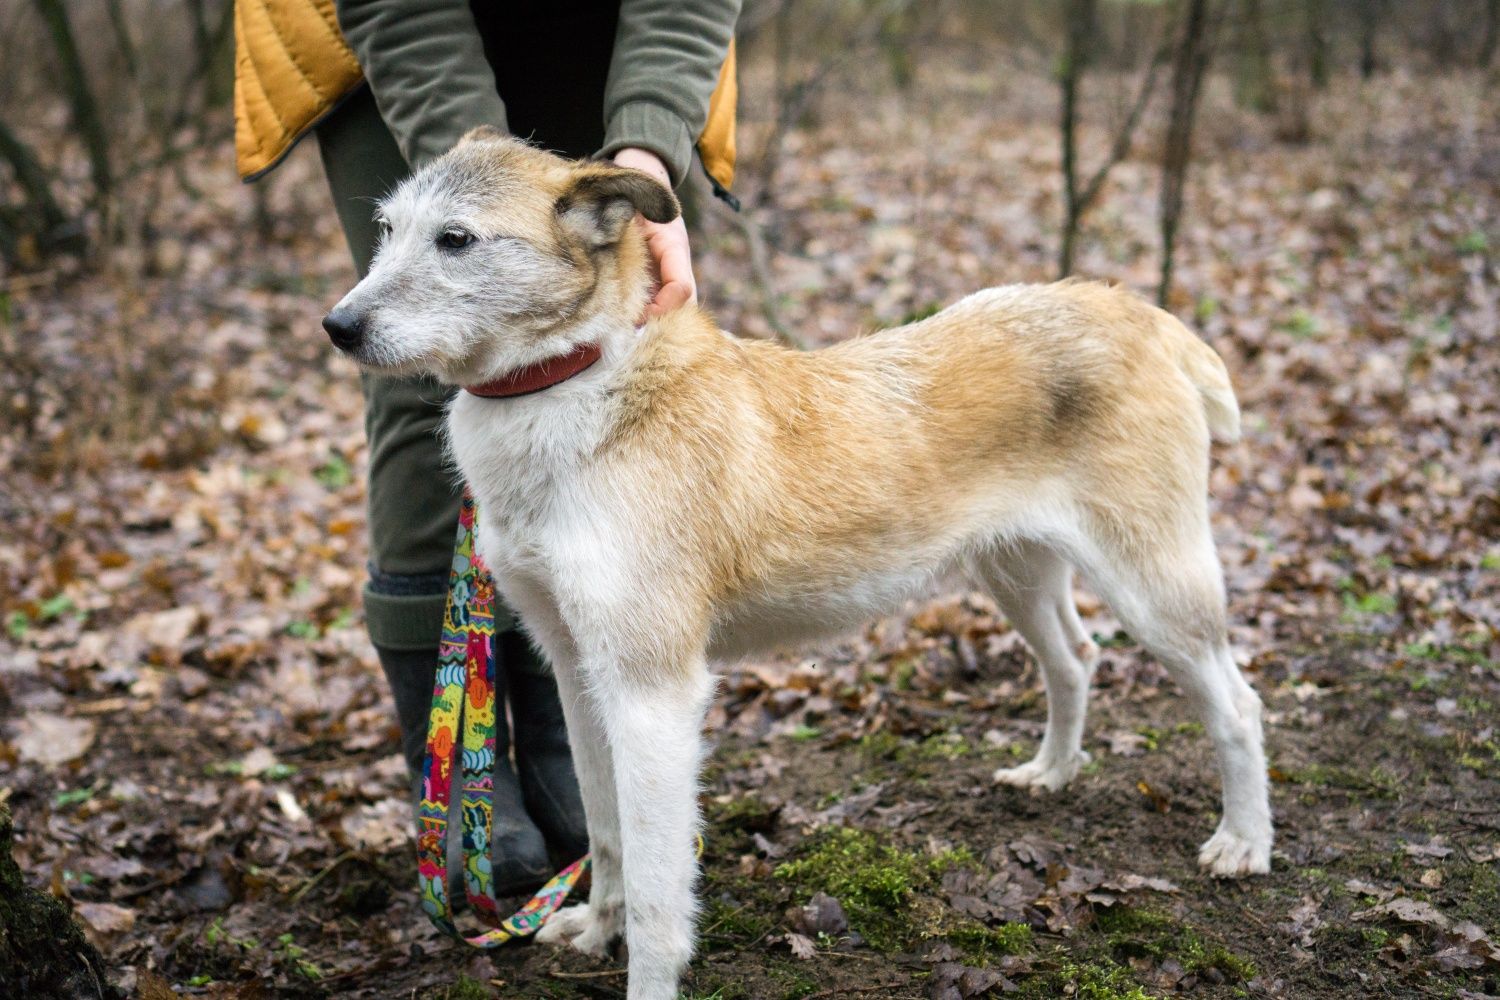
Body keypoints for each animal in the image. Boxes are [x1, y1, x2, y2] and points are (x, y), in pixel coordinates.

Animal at [322, 131, 1272, 1000]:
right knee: (1075, 660)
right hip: (1016, 576)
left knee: (1238, 704)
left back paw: (1244, 842)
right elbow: (606, 831)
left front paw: (644, 970)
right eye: (388, 229)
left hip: (1155, 589)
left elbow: (662, 895)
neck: (579, 387)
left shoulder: (654, 694)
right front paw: (597, 930)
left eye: (456, 240)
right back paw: (1053, 772)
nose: (338, 327)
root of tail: (1129, 308)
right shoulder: (577, 671)